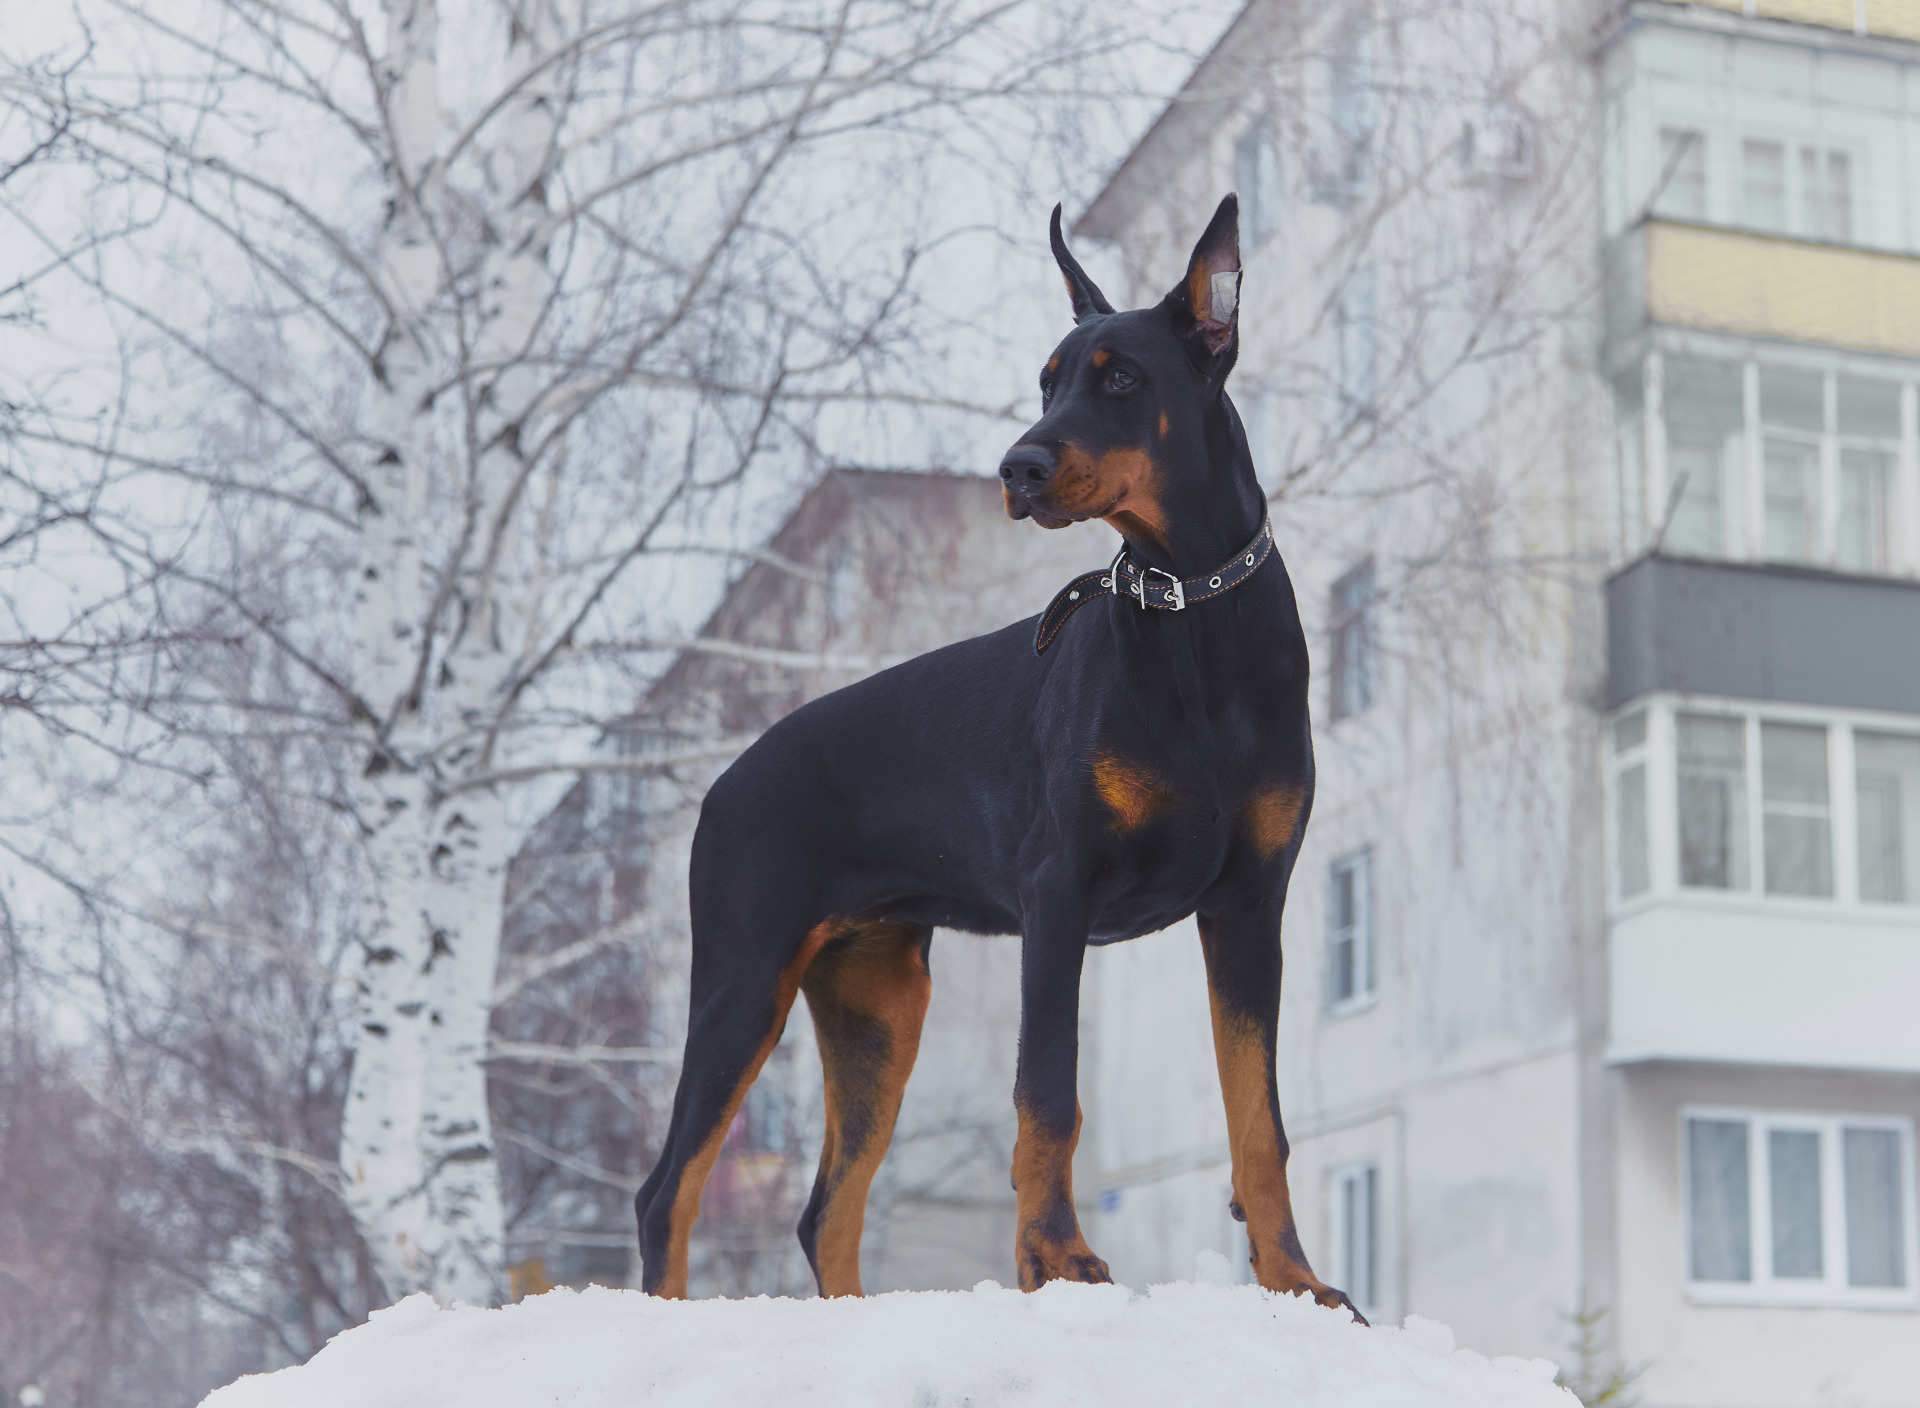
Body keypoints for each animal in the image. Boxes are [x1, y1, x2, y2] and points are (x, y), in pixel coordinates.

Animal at [637, 194, 1359, 1321]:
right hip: (743, 976)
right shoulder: (1059, 890)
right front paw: (1057, 1261)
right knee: (669, 1188)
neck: (1190, 612)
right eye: (1045, 381)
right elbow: (1047, 1094)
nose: (1016, 468)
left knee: (823, 1208)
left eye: (1120, 376)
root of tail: (723, 779)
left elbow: (1260, 1119)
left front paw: (1297, 1281)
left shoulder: (1251, 902)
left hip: (878, 1002)